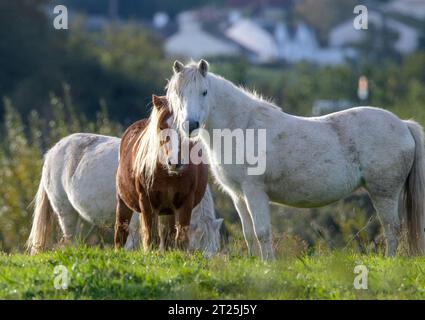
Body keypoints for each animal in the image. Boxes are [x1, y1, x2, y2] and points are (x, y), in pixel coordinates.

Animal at [113, 96, 208, 251]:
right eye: (161, 127)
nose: (174, 163)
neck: (168, 175)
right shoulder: (147, 202)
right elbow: (151, 238)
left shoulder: (185, 202)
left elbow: (180, 239)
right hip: (123, 202)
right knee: (120, 232)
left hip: (169, 210)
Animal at [165, 59, 424, 260]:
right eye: (179, 94)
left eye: (204, 92)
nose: (191, 125)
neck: (242, 126)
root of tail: (403, 125)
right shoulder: (238, 195)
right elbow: (249, 235)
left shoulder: (255, 191)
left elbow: (262, 232)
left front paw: (268, 267)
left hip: (384, 193)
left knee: (391, 229)